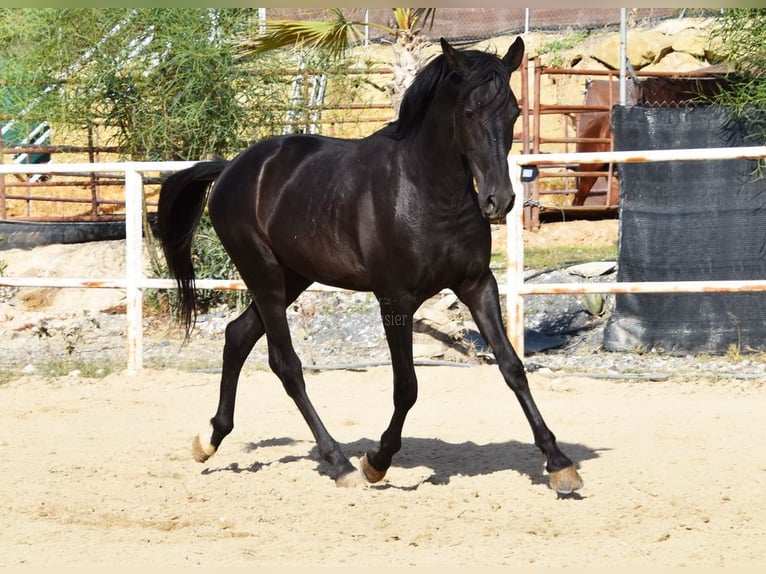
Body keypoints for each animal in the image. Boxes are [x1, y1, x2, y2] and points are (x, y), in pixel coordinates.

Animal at [159, 37, 584, 496]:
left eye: (514, 111)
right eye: (469, 112)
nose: (498, 200)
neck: (426, 190)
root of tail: (231, 168)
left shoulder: (476, 284)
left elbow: (512, 367)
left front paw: (559, 463)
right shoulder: (395, 300)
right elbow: (407, 387)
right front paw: (376, 462)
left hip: (293, 278)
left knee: (237, 336)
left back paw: (209, 439)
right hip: (265, 277)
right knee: (286, 365)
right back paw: (340, 463)